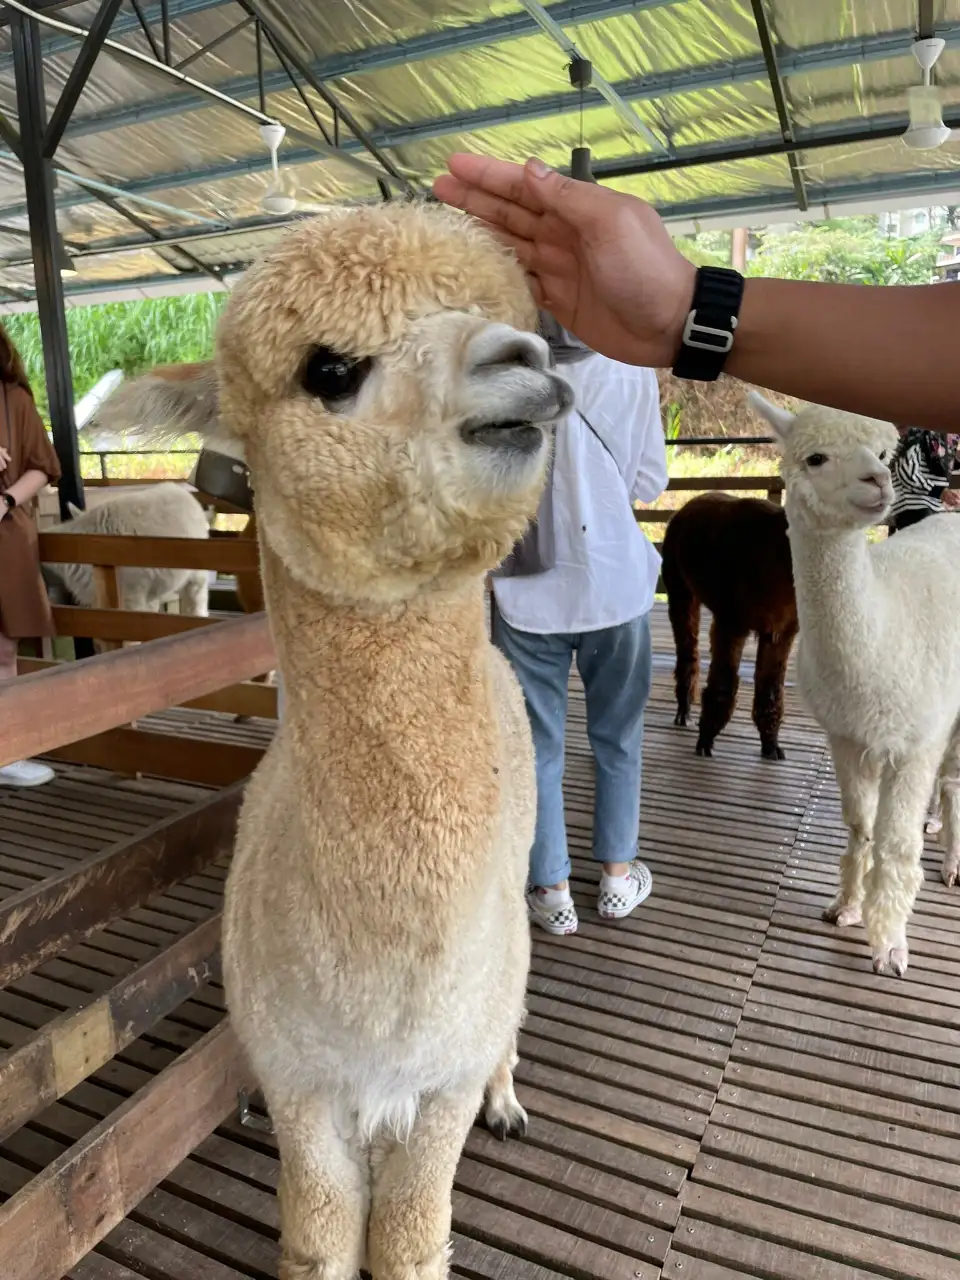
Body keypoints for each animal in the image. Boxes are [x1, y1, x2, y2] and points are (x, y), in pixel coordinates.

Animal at [205, 204, 572, 1280]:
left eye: (507, 315)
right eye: (329, 367)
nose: (525, 357)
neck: (384, 1002)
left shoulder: (437, 1083)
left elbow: (411, 1239)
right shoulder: (301, 1079)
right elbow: (320, 1239)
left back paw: (509, 1098)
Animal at [661, 491, 798, 760]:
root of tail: (684, 508)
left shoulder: (781, 630)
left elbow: (771, 687)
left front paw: (771, 746)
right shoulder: (732, 620)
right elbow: (723, 680)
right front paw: (705, 741)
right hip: (679, 584)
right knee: (688, 650)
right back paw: (684, 712)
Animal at [750, 392, 960, 978]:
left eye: (883, 453)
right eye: (816, 458)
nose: (876, 481)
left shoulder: (915, 741)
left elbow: (895, 843)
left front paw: (890, 945)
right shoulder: (845, 736)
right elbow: (859, 826)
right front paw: (845, 906)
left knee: (954, 783)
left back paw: (951, 864)